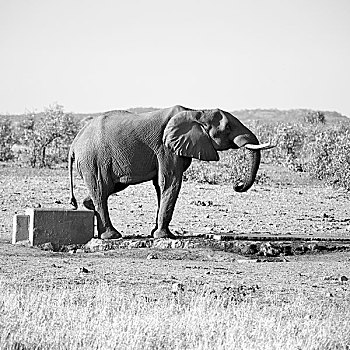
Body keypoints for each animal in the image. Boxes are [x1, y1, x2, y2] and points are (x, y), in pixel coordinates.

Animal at [67, 105, 270, 239]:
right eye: (227, 128)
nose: (237, 185)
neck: (197, 111)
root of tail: (74, 143)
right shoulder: (165, 148)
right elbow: (170, 182)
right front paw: (164, 236)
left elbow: (161, 186)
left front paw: (158, 233)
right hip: (93, 160)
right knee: (101, 190)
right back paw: (112, 236)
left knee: (108, 188)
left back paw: (89, 207)